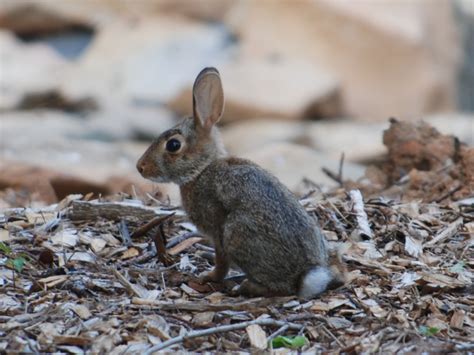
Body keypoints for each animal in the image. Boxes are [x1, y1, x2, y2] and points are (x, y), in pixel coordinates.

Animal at [135, 67, 346, 298]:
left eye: (173, 145)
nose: (140, 167)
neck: (202, 169)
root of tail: (305, 276)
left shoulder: (217, 231)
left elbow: (221, 262)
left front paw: (208, 277)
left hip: (236, 233)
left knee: (280, 287)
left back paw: (246, 286)